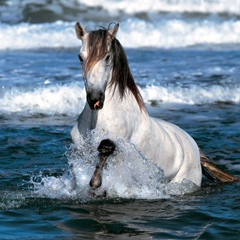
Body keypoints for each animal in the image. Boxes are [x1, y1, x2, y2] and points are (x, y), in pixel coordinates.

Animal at [71, 21, 238, 188]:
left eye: (107, 57)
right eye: (80, 57)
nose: (95, 98)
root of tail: (194, 146)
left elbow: (106, 149)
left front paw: (95, 182)